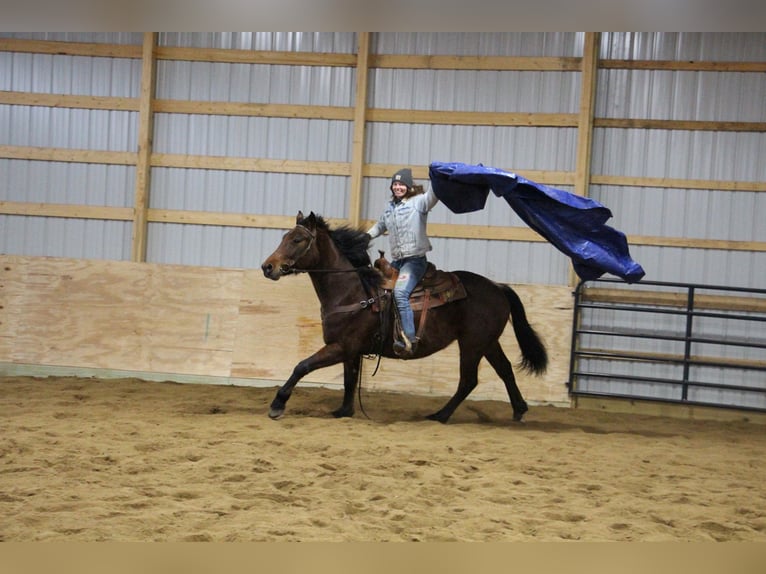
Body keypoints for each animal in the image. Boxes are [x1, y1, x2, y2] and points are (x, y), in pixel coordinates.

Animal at [260, 212, 548, 424]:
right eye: (285, 237)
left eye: (298, 239)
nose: (268, 267)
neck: (352, 291)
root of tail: (498, 287)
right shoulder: (351, 351)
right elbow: (349, 380)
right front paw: (343, 412)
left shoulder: (341, 346)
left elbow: (302, 366)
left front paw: (277, 404)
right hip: (487, 342)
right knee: (505, 369)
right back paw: (519, 410)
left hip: (472, 345)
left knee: (469, 380)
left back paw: (440, 415)